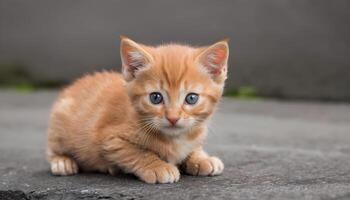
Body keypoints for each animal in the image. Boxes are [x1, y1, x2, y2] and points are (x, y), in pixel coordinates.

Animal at [46, 36, 230, 184]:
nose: (173, 118)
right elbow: (137, 152)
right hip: (59, 123)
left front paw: (202, 159)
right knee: (53, 149)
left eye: (191, 98)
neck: (176, 138)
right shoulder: (111, 139)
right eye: (155, 97)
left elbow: (194, 147)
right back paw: (63, 162)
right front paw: (158, 167)